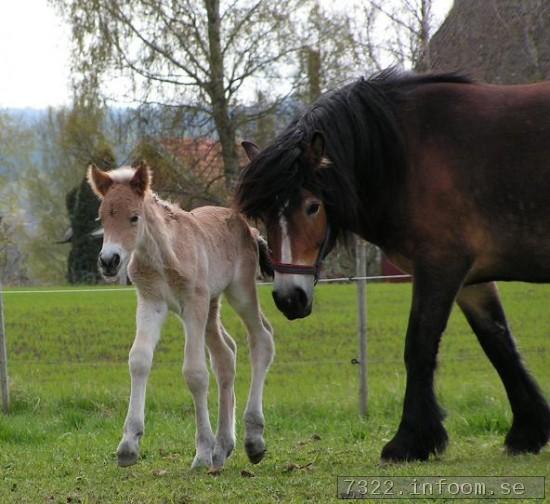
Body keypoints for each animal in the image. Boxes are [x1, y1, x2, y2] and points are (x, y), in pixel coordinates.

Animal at [88, 163, 276, 470]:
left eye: (134, 217)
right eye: (102, 218)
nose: (108, 261)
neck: (162, 255)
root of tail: (247, 227)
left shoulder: (193, 304)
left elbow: (195, 373)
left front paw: (201, 452)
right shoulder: (151, 303)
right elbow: (139, 360)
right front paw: (129, 444)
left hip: (239, 292)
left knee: (262, 339)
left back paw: (253, 440)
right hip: (212, 305)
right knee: (226, 355)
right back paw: (223, 447)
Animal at [236, 70, 550, 460]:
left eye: (312, 206)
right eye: (263, 214)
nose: (289, 298)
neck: (404, 154)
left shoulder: (441, 266)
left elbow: (419, 345)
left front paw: (410, 439)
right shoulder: (471, 280)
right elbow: (499, 344)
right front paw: (527, 431)